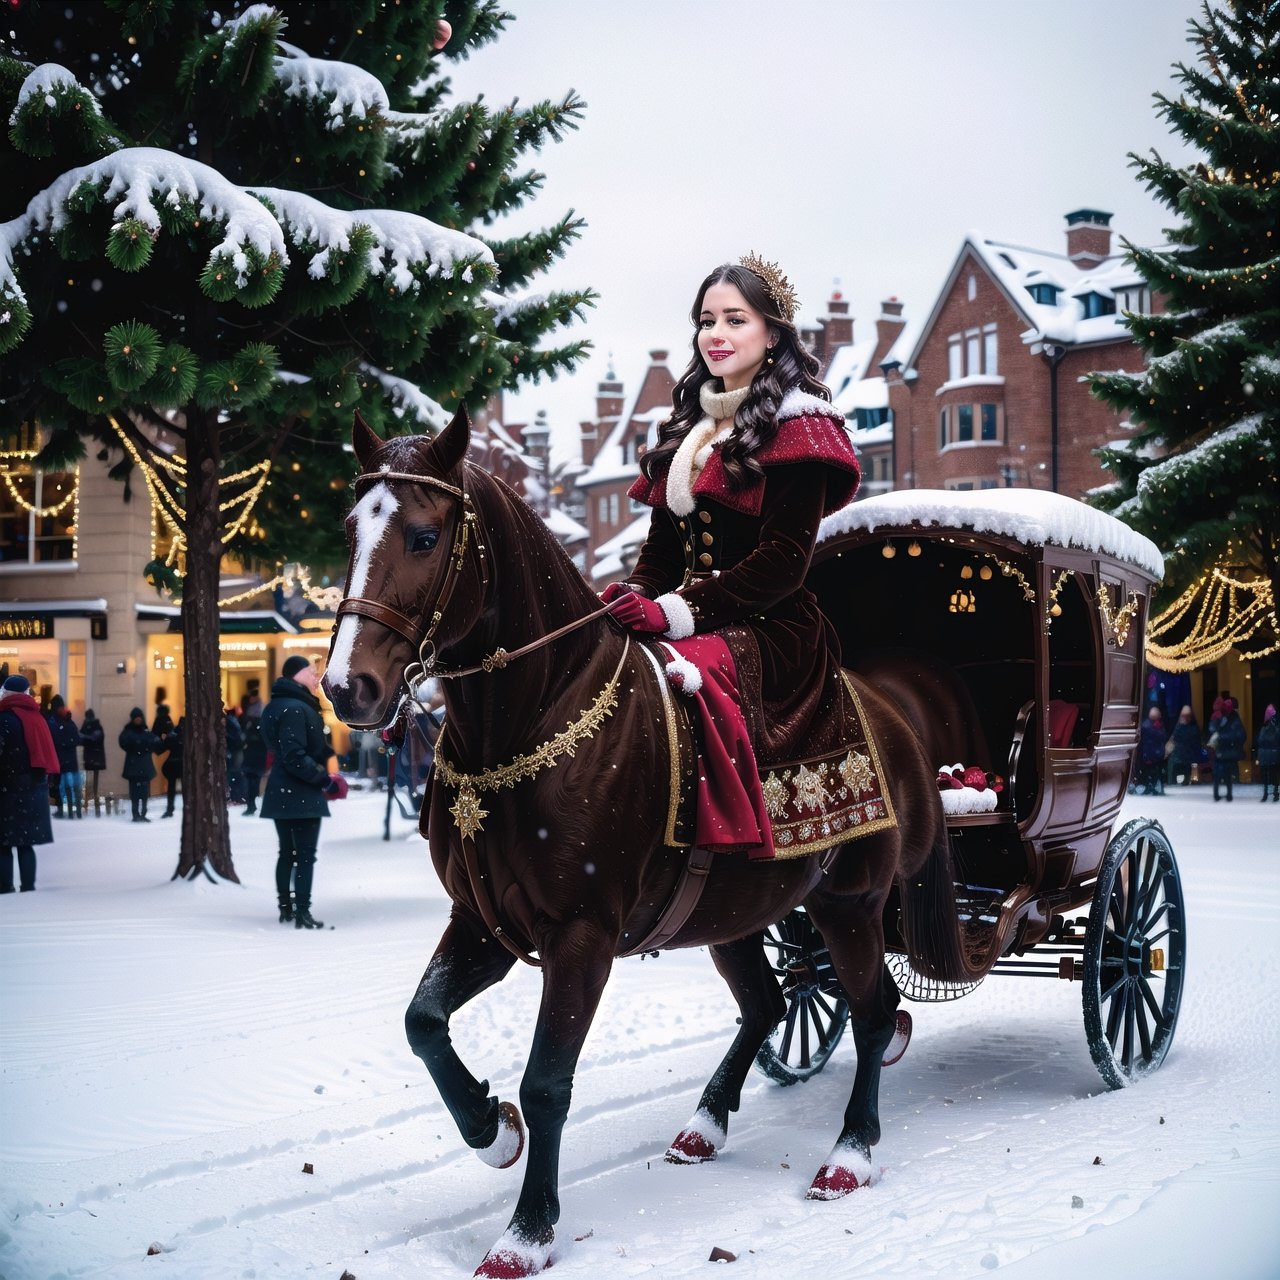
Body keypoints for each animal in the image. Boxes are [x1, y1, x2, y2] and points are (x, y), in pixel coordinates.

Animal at [325, 412, 962, 1280]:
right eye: (350, 528)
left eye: (425, 536)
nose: (344, 686)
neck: (535, 715)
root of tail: (892, 713)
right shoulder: (484, 922)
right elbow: (422, 1023)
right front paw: (489, 1131)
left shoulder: (581, 936)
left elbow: (548, 1082)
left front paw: (527, 1232)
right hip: (734, 913)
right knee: (771, 1005)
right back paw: (709, 1121)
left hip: (850, 904)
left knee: (871, 1014)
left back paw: (850, 1154)